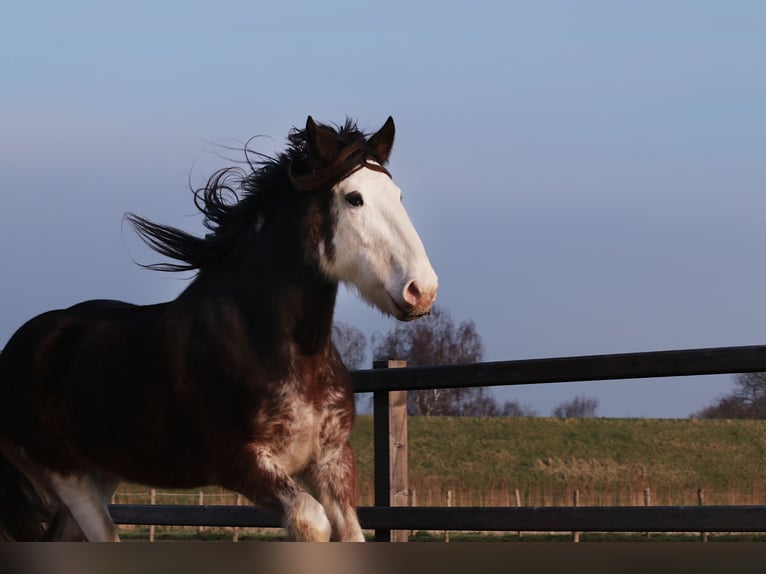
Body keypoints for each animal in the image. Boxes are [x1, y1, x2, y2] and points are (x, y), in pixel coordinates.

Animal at [0, 118, 438, 544]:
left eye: (397, 196)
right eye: (354, 198)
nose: (422, 289)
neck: (261, 338)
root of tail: (15, 349)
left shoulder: (331, 460)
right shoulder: (240, 462)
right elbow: (311, 521)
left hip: (102, 472)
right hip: (66, 475)